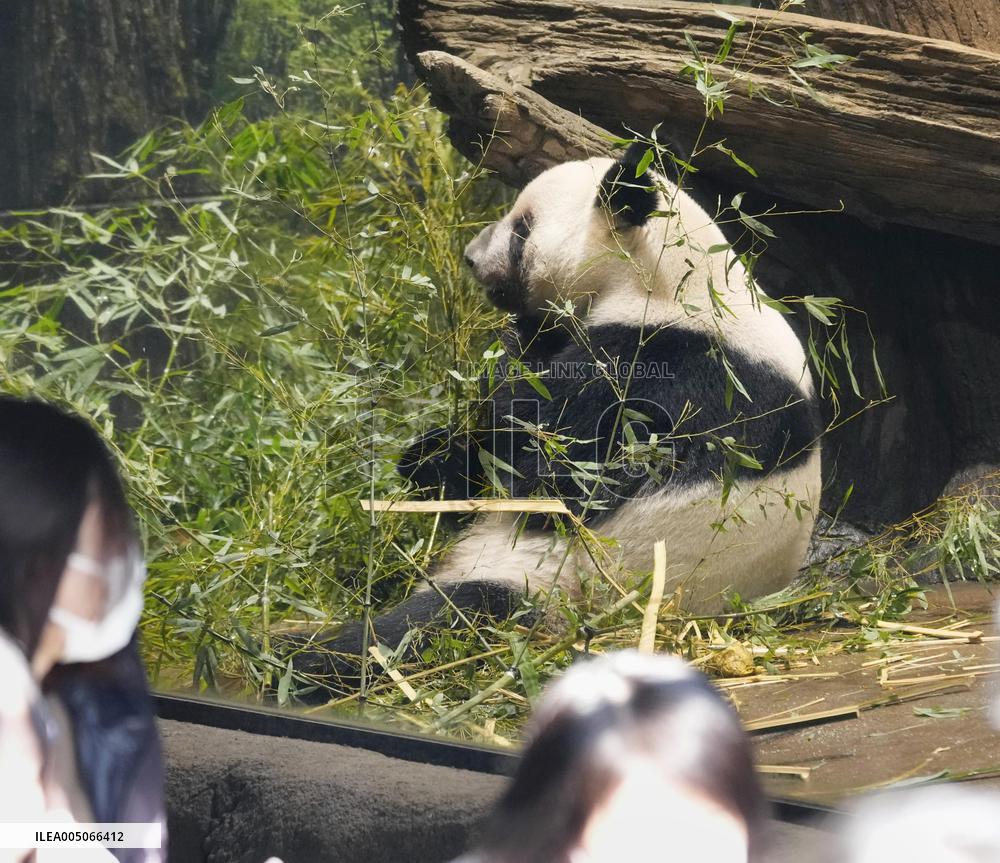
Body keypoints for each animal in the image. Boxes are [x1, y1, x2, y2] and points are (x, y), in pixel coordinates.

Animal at [291, 143, 821, 695]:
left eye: (522, 228)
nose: (471, 257)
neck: (669, 276)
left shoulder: (678, 369)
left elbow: (557, 466)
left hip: (553, 578)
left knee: (437, 618)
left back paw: (297, 658)